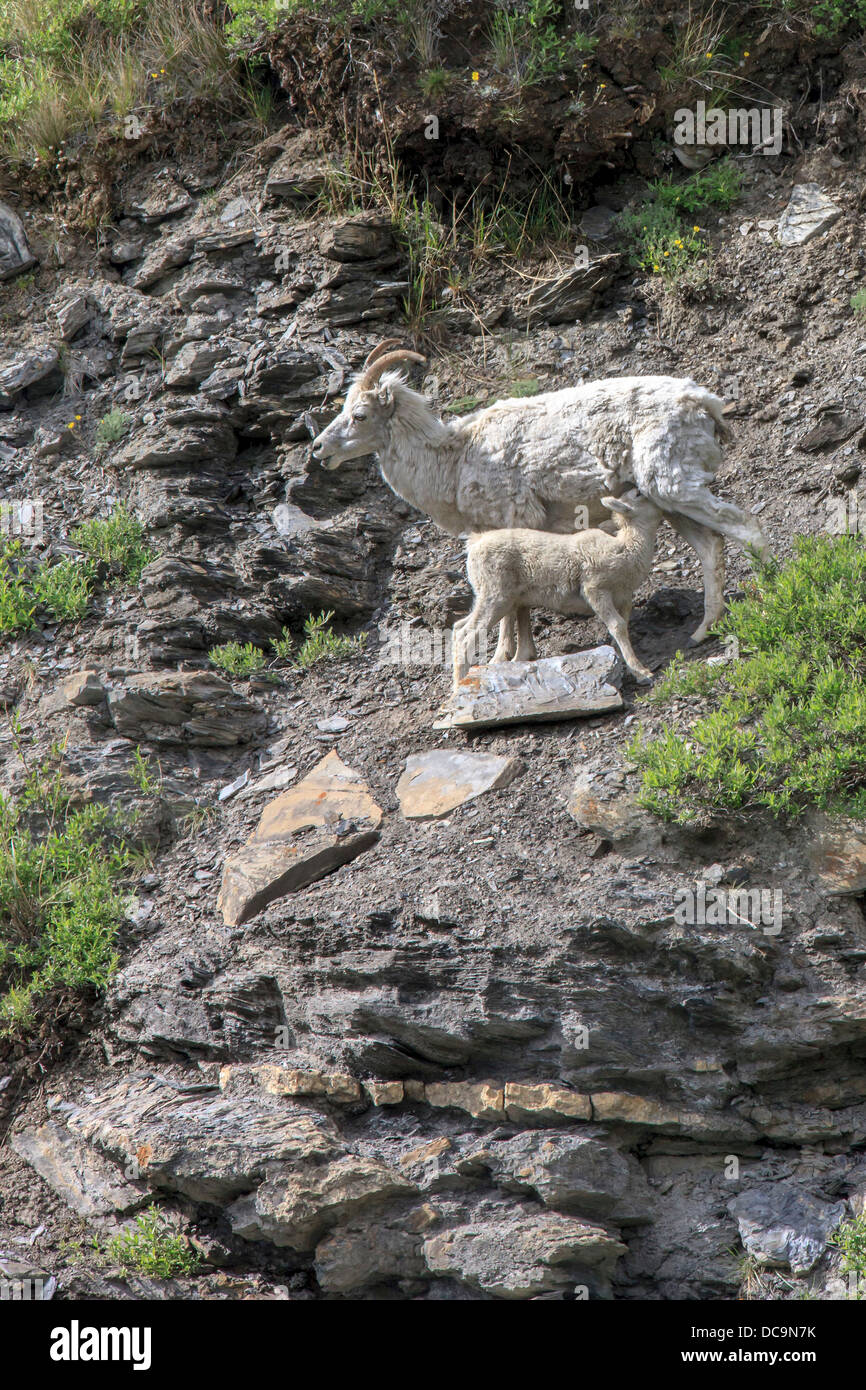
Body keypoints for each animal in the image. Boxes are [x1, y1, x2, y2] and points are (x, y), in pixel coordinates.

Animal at [309, 341, 767, 656]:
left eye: (359, 416)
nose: (318, 449)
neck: (453, 460)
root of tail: (704, 403)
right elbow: (518, 603)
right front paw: (516, 657)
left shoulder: (515, 524)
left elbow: (512, 608)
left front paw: (504, 659)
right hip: (667, 500)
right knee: (711, 547)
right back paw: (701, 633)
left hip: (675, 485)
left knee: (748, 528)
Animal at [453, 492, 664, 686]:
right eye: (638, 494)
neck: (626, 549)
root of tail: (475, 544)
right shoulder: (595, 590)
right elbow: (617, 626)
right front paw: (642, 673)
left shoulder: (624, 598)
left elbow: (622, 627)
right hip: (495, 597)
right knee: (466, 635)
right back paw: (459, 688)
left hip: (495, 599)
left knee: (458, 627)